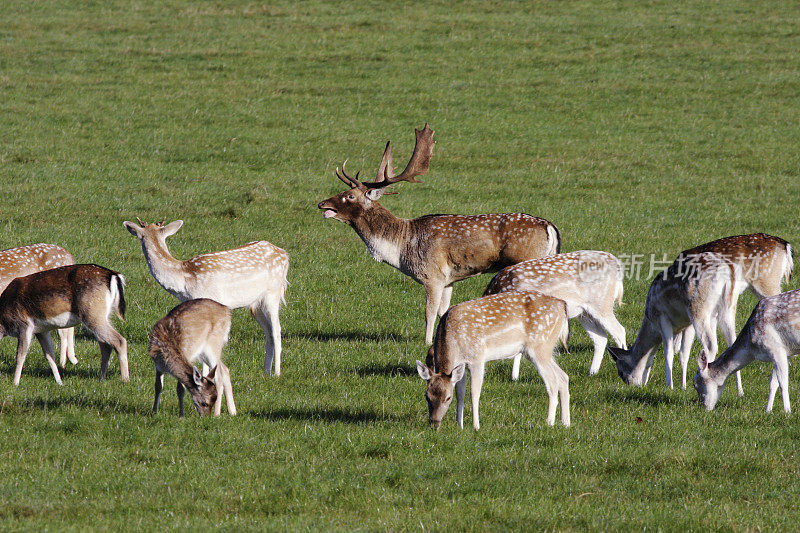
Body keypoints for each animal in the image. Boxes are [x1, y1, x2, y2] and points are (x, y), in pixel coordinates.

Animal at [123, 218, 290, 376]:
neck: (184, 280)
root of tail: (285, 255)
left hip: (273, 293)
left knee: (277, 330)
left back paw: (276, 373)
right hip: (256, 305)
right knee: (268, 333)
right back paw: (266, 372)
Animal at [316, 122, 560, 342]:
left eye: (349, 196)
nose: (321, 203)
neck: (401, 246)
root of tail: (550, 227)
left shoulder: (432, 274)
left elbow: (429, 312)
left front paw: (427, 342)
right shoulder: (449, 278)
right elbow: (445, 310)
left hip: (527, 263)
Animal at [418, 288, 568, 430]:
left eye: (448, 398)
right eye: (427, 396)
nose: (434, 423)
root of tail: (563, 306)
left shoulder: (477, 358)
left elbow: (474, 393)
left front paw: (476, 427)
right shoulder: (462, 365)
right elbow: (460, 394)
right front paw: (459, 426)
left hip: (539, 346)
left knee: (553, 382)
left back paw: (550, 423)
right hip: (543, 350)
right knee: (563, 377)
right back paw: (565, 423)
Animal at [484, 250, 628, 378]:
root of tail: (617, 264)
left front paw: (514, 376)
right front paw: (515, 377)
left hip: (602, 303)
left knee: (619, 331)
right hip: (585, 312)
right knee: (600, 338)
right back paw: (593, 372)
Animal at [608, 251, 740, 392]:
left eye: (621, 373)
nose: (634, 386)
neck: (651, 322)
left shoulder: (662, 318)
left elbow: (669, 352)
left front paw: (669, 386)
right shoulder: (687, 324)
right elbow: (684, 354)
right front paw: (683, 386)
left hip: (698, 308)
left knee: (710, 345)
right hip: (728, 307)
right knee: (733, 342)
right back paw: (739, 390)